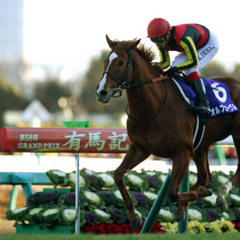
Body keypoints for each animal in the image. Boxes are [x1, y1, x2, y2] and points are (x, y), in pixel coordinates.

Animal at [94, 35, 240, 229]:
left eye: (120, 62)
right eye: (105, 61)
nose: (101, 92)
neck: (154, 107)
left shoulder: (183, 152)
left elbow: (172, 191)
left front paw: (200, 195)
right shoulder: (141, 148)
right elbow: (118, 175)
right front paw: (134, 216)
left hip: (236, 135)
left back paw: (221, 194)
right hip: (201, 144)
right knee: (204, 175)